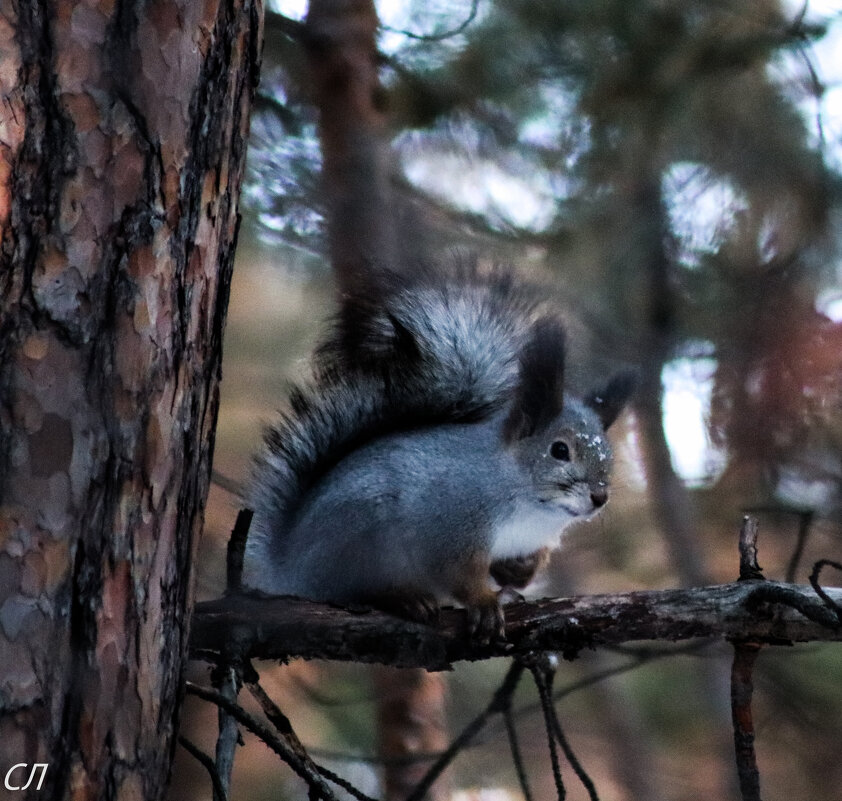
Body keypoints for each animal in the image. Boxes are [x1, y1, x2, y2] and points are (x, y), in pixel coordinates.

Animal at [243, 260, 632, 640]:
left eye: (609, 455)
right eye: (560, 450)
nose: (600, 497)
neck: (532, 509)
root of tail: (288, 567)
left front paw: (519, 572)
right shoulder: (451, 523)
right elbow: (455, 571)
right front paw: (484, 602)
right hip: (361, 537)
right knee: (348, 588)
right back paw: (401, 598)